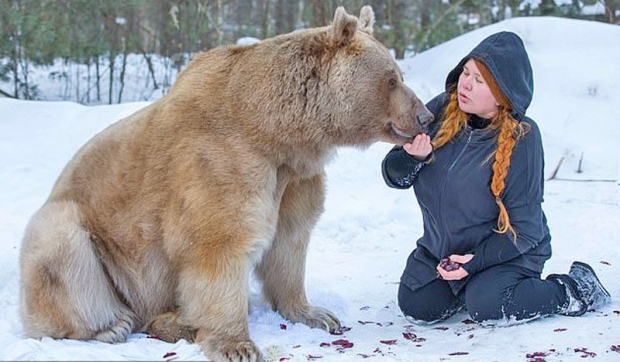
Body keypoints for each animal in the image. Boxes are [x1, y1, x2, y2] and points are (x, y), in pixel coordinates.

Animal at [20, 5, 432, 362]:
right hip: (83, 240)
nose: (425, 116)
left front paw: (316, 313)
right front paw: (238, 345)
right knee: (64, 256)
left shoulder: (294, 179)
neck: (278, 131)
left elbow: (289, 242)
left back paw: (176, 321)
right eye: (392, 78)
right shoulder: (221, 162)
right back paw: (111, 326)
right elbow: (218, 244)